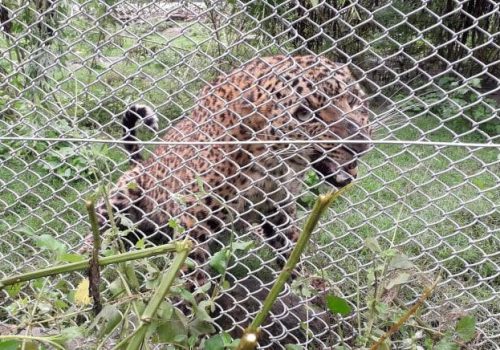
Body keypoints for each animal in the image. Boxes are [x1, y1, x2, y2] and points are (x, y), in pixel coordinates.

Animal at [91, 54, 372, 288]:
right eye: (304, 114)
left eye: (352, 99)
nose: (359, 141)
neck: (274, 164)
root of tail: (142, 163)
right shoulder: (195, 217)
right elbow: (192, 270)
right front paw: (193, 309)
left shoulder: (280, 210)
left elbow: (291, 249)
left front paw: (304, 289)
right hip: (123, 194)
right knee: (100, 231)